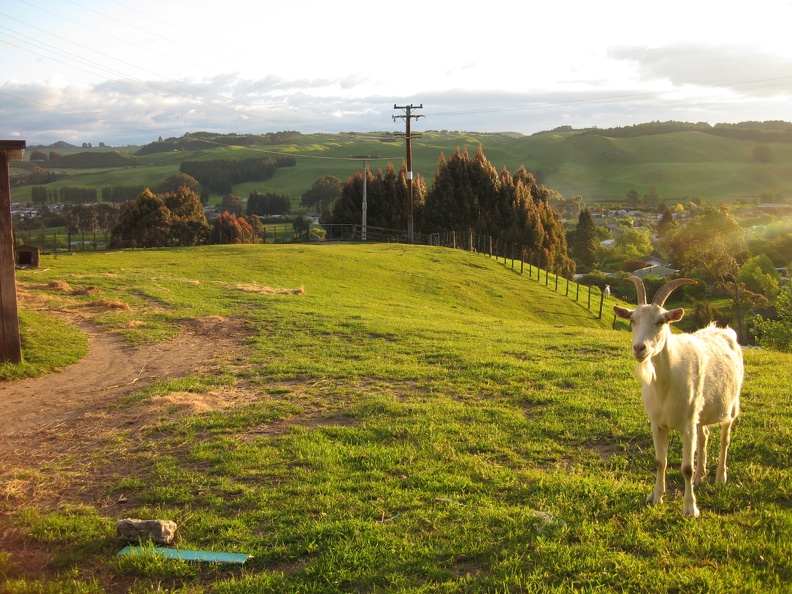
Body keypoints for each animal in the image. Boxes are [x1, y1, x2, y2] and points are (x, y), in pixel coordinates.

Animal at [612, 276, 744, 516]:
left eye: (662, 321)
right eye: (633, 319)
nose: (639, 348)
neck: (666, 385)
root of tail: (724, 331)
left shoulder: (686, 425)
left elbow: (686, 468)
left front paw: (690, 508)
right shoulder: (657, 424)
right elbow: (660, 461)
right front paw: (656, 496)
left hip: (730, 407)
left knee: (724, 439)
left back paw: (720, 477)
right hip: (700, 412)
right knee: (704, 437)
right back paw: (701, 477)